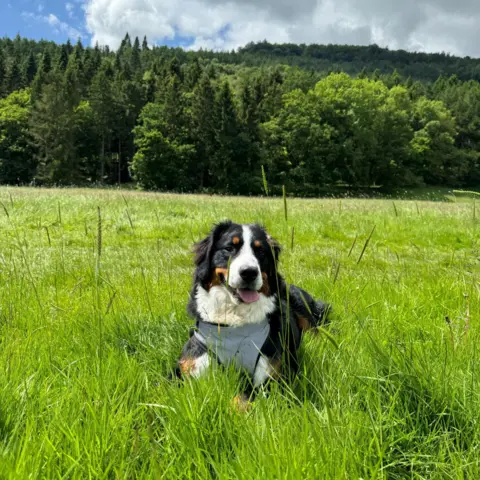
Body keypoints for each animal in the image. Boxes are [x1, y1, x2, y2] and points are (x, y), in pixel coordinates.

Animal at [175, 219, 330, 406]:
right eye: (229, 248)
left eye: (260, 251)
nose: (249, 272)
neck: (234, 324)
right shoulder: (189, 365)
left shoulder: (275, 377)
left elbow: (240, 399)